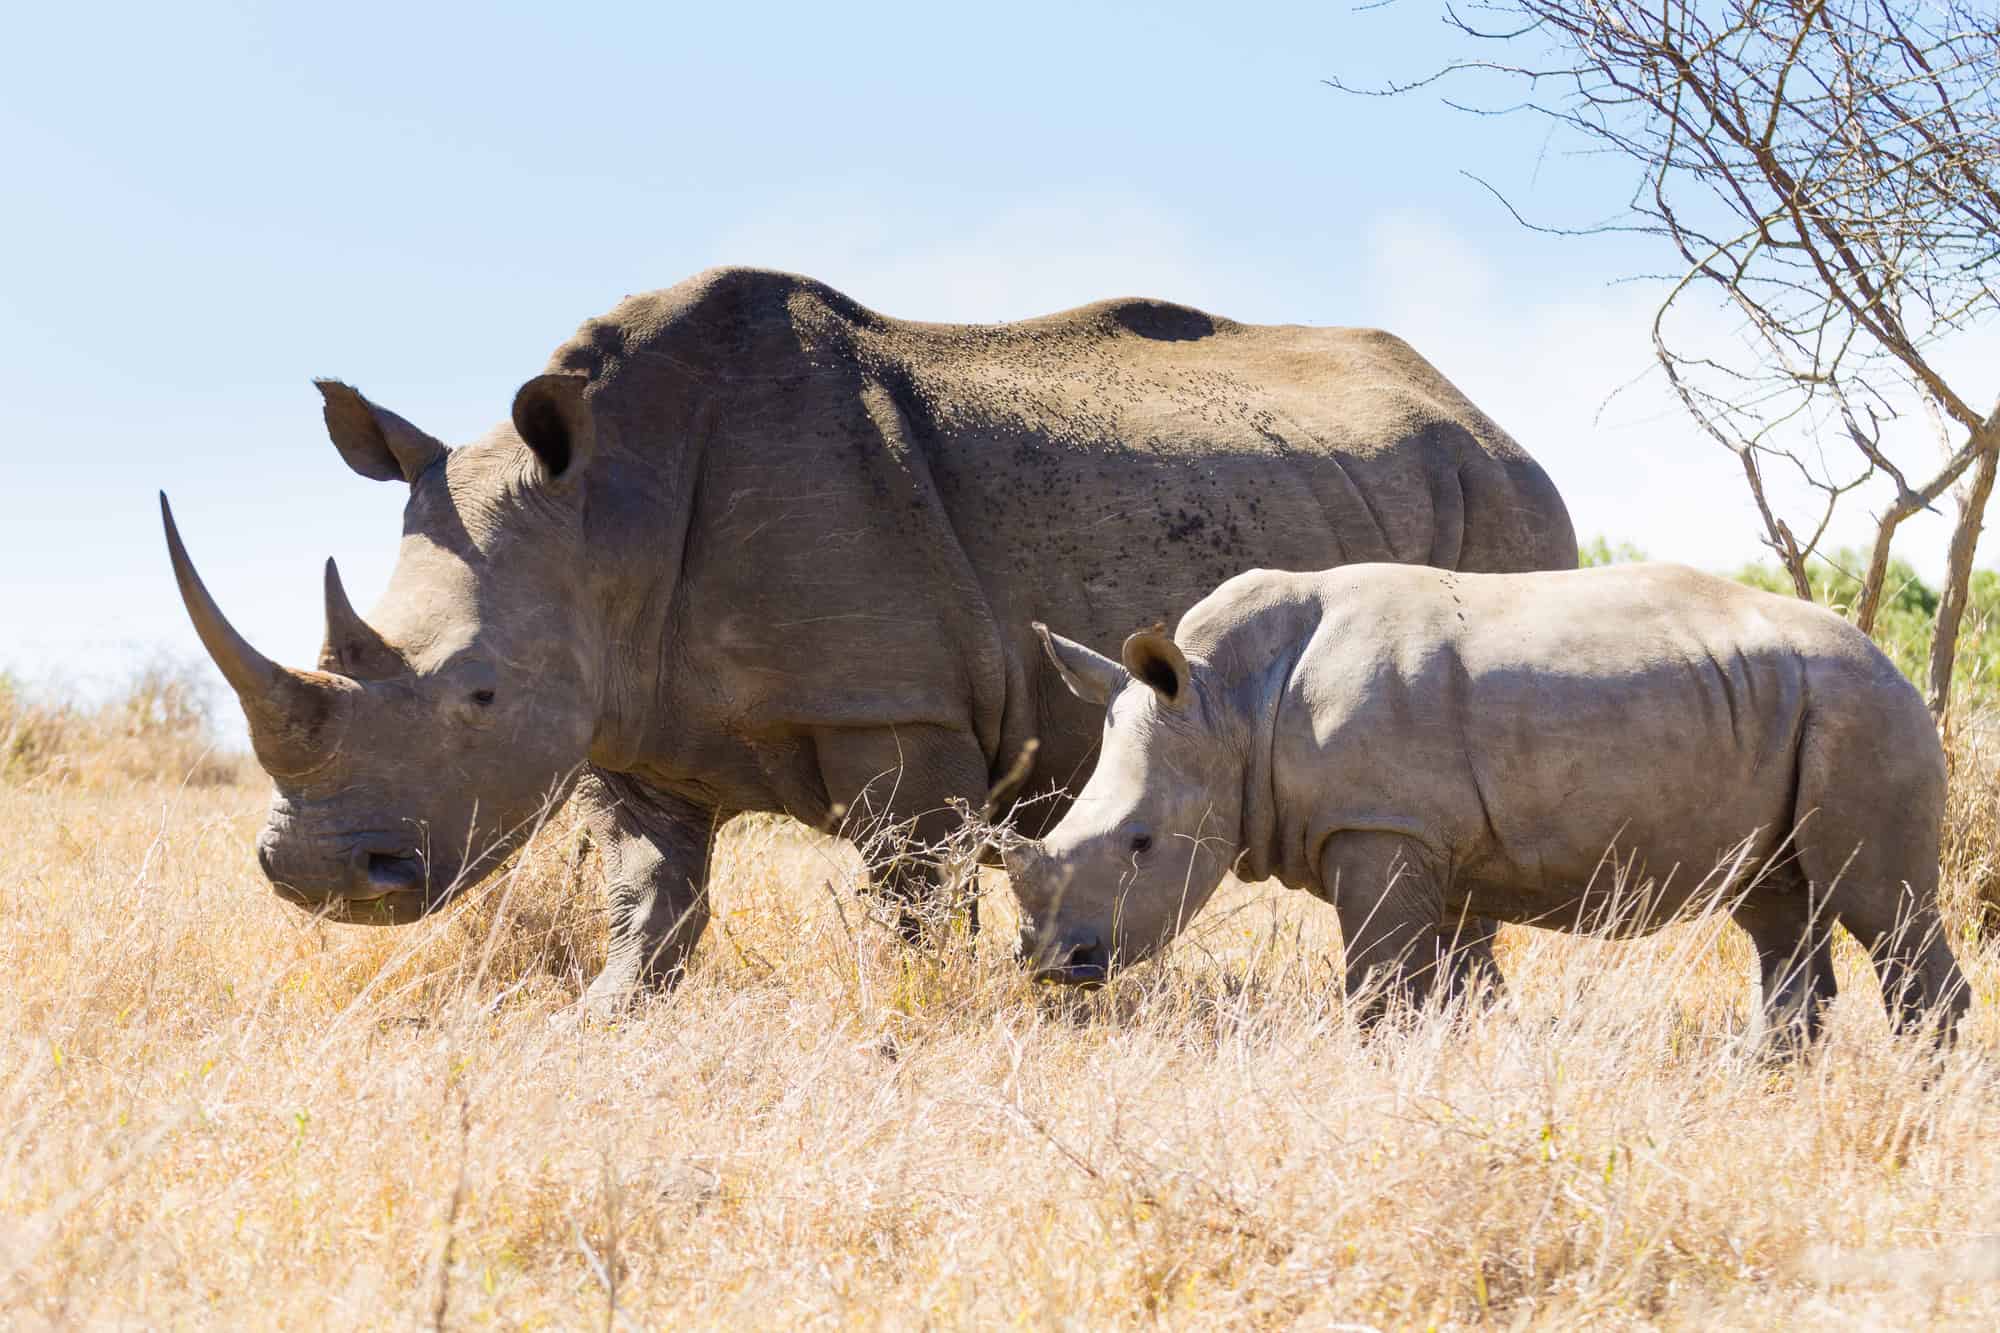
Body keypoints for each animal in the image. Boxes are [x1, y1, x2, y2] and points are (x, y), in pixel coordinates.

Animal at [161, 267, 1575, 1012]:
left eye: (480, 698)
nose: (318, 879)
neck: (606, 499)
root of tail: (1482, 414)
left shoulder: (895, 707)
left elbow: (910, 889)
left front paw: (927, 1016)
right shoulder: (627, 721)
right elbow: (648, 901)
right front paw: (606, 1019)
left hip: (1500, 497)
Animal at [1010, 563, 1970, 1041]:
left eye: (1140, 844)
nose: (1056, 963)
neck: (1223, 701)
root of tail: (1890, 657)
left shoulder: (1381, 826)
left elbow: (1379, 990)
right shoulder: (1427, 845)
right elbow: (1445, 990)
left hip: (1862, 707)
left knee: (1880, 903)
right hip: (1792, 705)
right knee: (1775, 910)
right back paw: (1758, 1084)